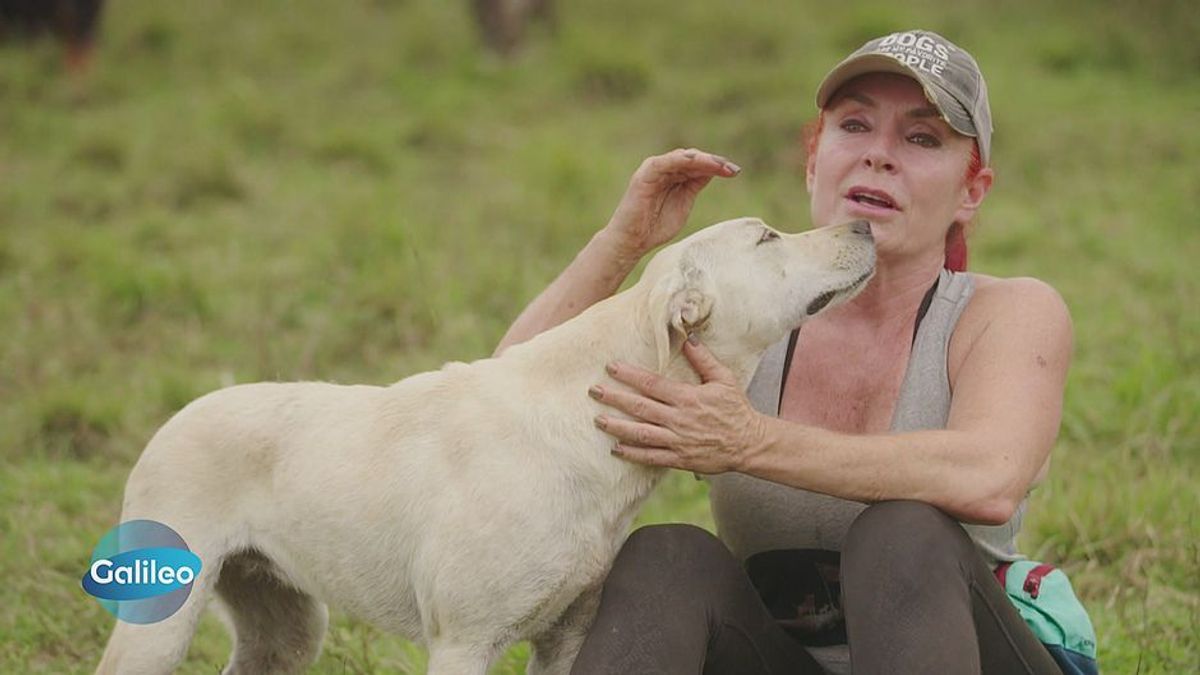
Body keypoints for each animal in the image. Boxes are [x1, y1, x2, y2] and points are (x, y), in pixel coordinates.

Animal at [93, 218, 873, 667]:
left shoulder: (567, 639)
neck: (582, 428)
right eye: (767, 238)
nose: (866, 220)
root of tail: (177, 415)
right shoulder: (464, 644)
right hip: (158, 627)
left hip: (285, 629)